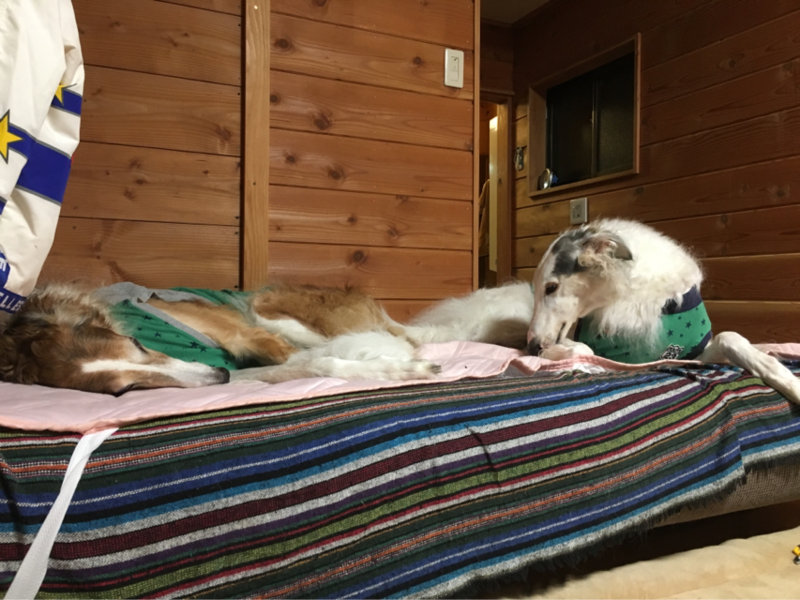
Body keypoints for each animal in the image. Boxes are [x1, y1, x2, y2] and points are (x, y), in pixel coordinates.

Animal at [526, 218, 800, 405]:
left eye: (551, 287)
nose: (531, 347)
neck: (630, 294)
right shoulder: (620, 358)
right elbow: (586, 350)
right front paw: (553, 353)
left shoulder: (694, 354)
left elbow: (730, 338)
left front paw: (790, 382)